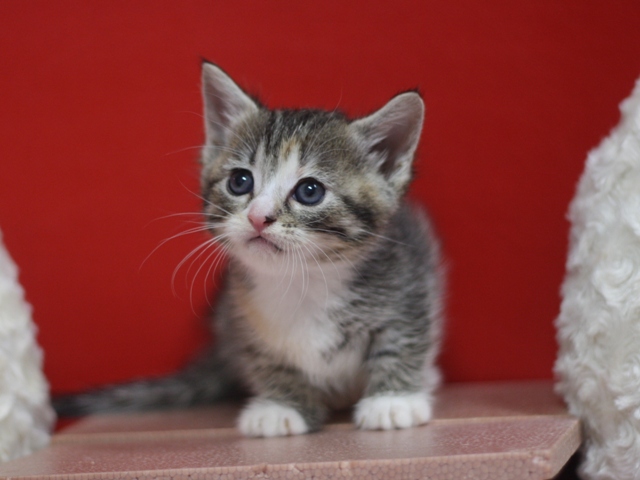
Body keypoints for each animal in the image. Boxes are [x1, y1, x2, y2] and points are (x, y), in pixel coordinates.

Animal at [53, 62, 444, 436]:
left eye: (310, 191)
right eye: (240, 181)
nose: (258, 217)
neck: (305, 280)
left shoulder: (410, 283)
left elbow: (403, 340)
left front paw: (393, 400)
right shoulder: (240, 314)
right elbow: (265, 360)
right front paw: (282, 406)